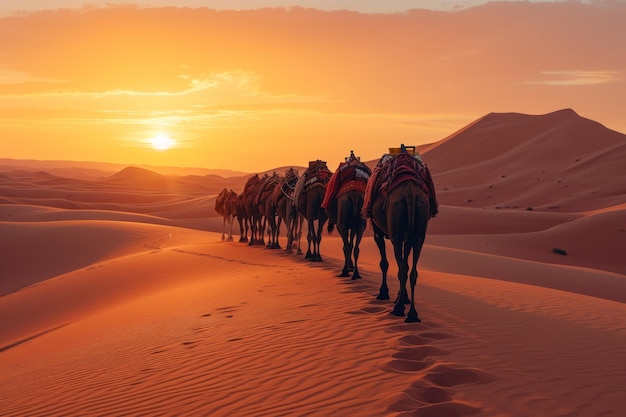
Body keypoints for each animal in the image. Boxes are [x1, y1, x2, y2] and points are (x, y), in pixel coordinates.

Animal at [322, 150, 370, 280]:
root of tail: (354, 195)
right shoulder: (353, 225)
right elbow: (352, 242)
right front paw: (351, 265)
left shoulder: (341, 225)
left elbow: (347, 243)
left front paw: (349, 266)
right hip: (361, 222)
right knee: (357, 247)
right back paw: (356, 273)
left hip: (342, 221)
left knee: (346, 245)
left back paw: (344, 271)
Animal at [364, 145, 436, 324]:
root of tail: (410, 194)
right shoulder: (408, 238)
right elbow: (406, 264)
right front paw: (402, 297)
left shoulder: (378, 232)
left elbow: (384, 263)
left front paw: (384, 293)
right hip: (418, 234)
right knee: (413, 271)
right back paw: (412, 313)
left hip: (396, 235)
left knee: (401, 269)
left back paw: (398, 309)